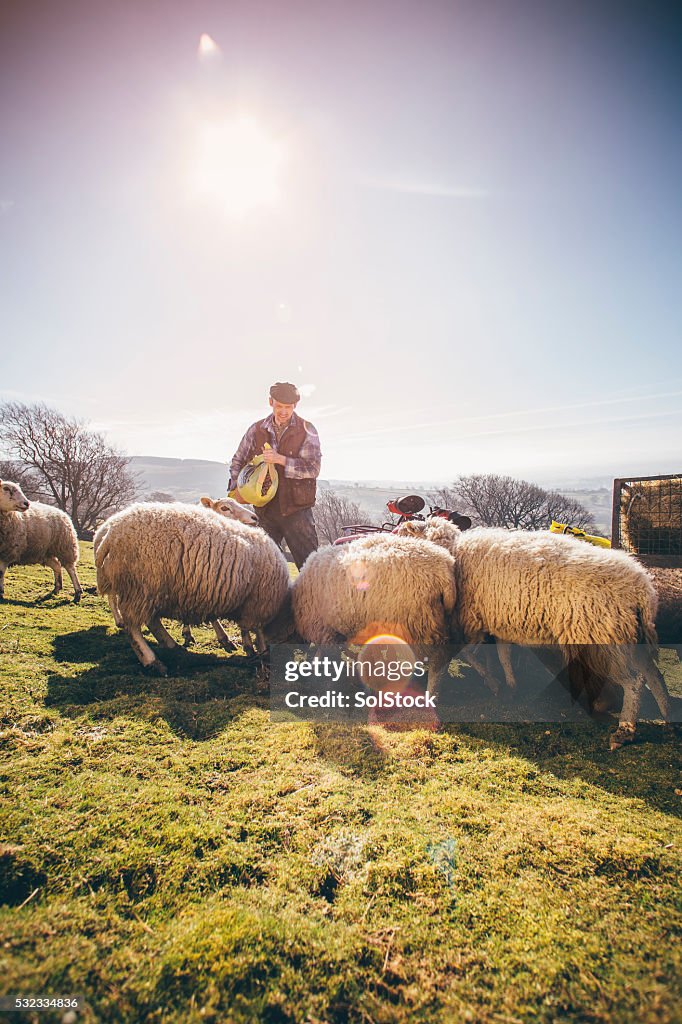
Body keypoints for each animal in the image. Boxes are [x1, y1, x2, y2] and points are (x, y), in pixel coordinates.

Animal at [94, 501, 288, 675]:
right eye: (225, 507)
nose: (255, 518)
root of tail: (109, 533)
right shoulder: (258, 603)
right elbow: (255, 630)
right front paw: (258, 652)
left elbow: (248, 628)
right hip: (141, 586)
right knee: (133, 626)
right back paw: (152, 661)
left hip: (150, 589)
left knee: (151, 620)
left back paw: (171, 645)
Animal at [288, 528, 456, 696]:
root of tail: (445, 569)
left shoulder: (325, 629)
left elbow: (326, 652)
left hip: (417, 624)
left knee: (436, 664)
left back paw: (430, 693)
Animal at [399, 524, 667, 749]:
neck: (456, 553)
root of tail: (642, 588)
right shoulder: (500, 620)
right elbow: (503, 654)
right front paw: (510, 685)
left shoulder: (470, 620)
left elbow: (468, 656)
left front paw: (492, 681)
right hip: (632, 638)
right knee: (653, 675)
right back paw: (666, 713)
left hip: (602, 639)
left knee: (634, 683)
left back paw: (624, 731)